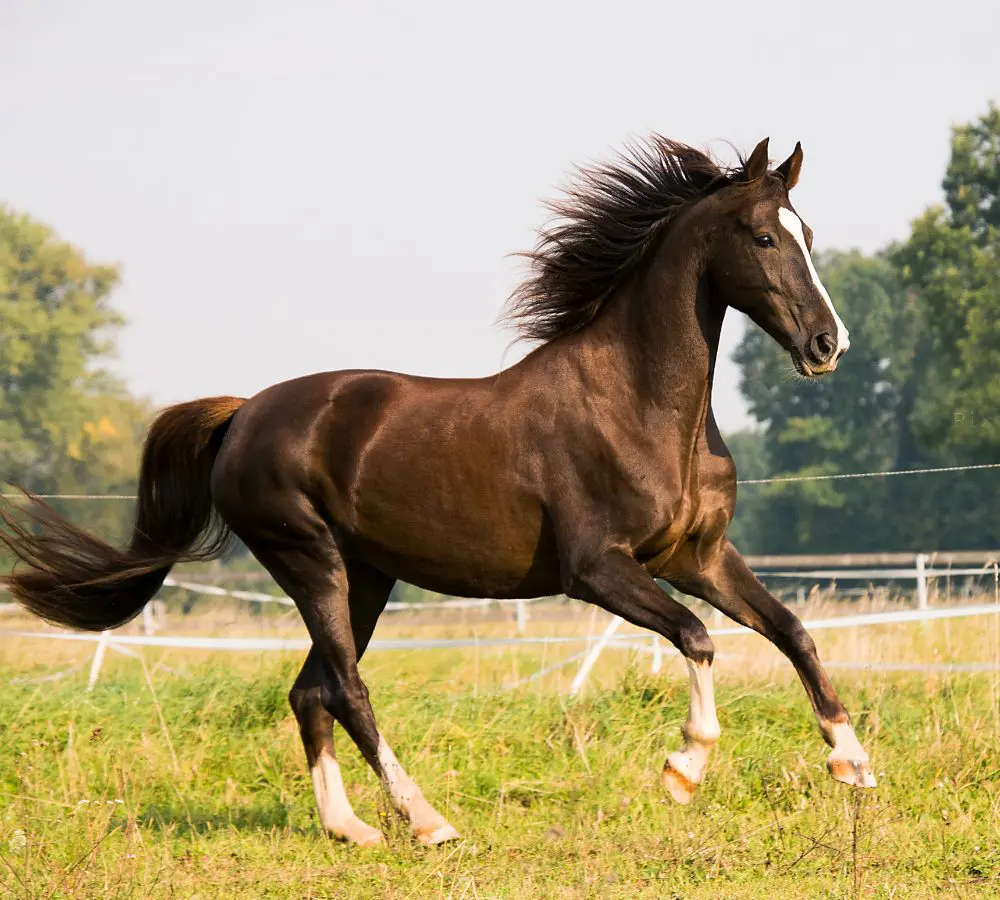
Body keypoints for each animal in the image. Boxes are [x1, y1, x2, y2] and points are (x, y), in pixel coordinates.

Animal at [0, 134, 874, 848]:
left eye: (808, 234)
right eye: (763, 236)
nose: (827, 345)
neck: (639, 405)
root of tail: (243, 413)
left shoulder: (698, 557)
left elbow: (793, 631)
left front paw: (853, 762)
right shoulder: (598, 570)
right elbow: (697, 638)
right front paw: (684, 769)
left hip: (365, 576)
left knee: (309, 690)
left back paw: (351, 828)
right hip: (310, 560)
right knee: (346, 689)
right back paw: (426, 820)